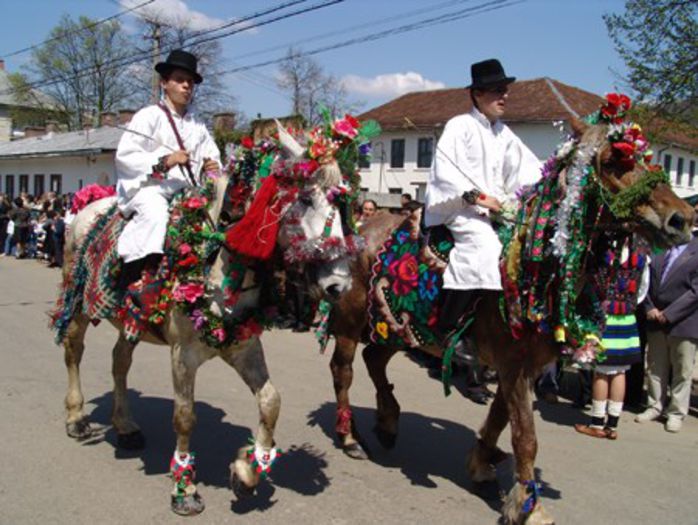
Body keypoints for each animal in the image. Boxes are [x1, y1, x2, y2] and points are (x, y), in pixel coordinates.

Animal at [324, 119, 692, 524]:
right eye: (612, 162)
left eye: (647, 158)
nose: (682, 219)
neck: (537, 269)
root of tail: (361, 228)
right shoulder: (513, 364)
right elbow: (525, 435)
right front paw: (529, 505)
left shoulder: (521, 366)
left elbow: (502, 417)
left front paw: (482, 466)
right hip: (350, 323)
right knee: (343, 371)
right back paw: (351, 437)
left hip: (397, 328)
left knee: (374, 359)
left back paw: (388, 421)